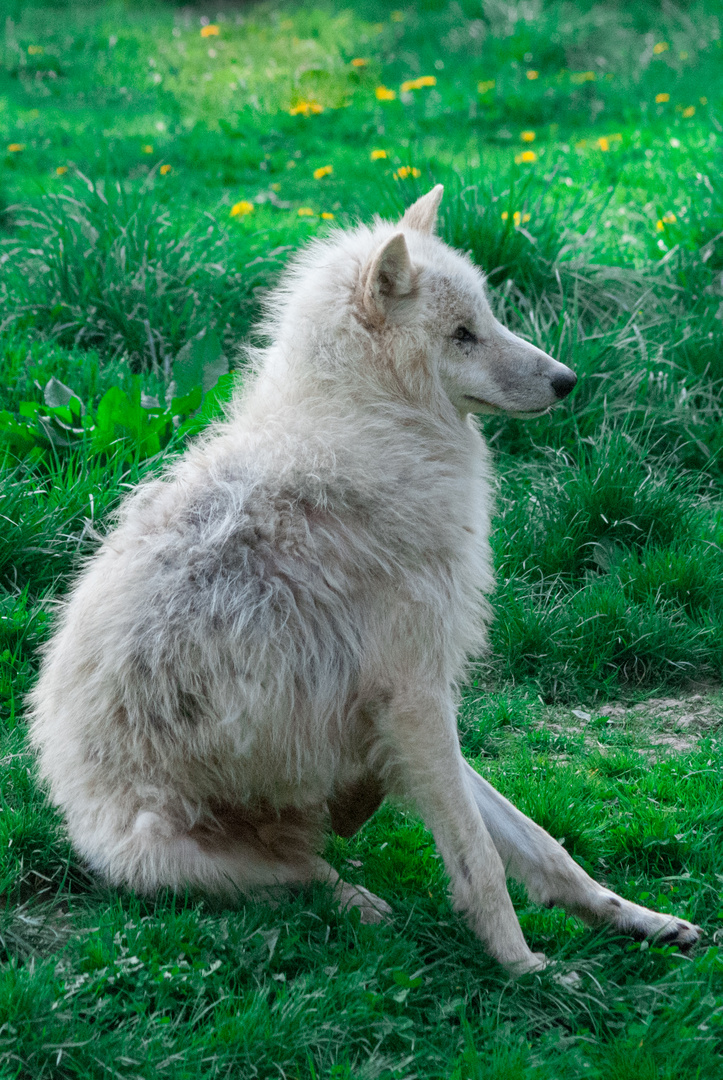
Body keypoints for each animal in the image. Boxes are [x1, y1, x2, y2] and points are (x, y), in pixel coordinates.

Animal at [29, 183, 700, 972]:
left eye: (490, 319)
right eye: (462, 335)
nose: (568, 381)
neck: (368, 426)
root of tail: (60, 793)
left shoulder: (423, 704)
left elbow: (536, 843)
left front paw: (628, 921)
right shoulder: (412, 698)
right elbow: (479, 859)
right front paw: (523, 969)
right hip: (177, 851)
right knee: (308, 878)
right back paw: (366, 910)